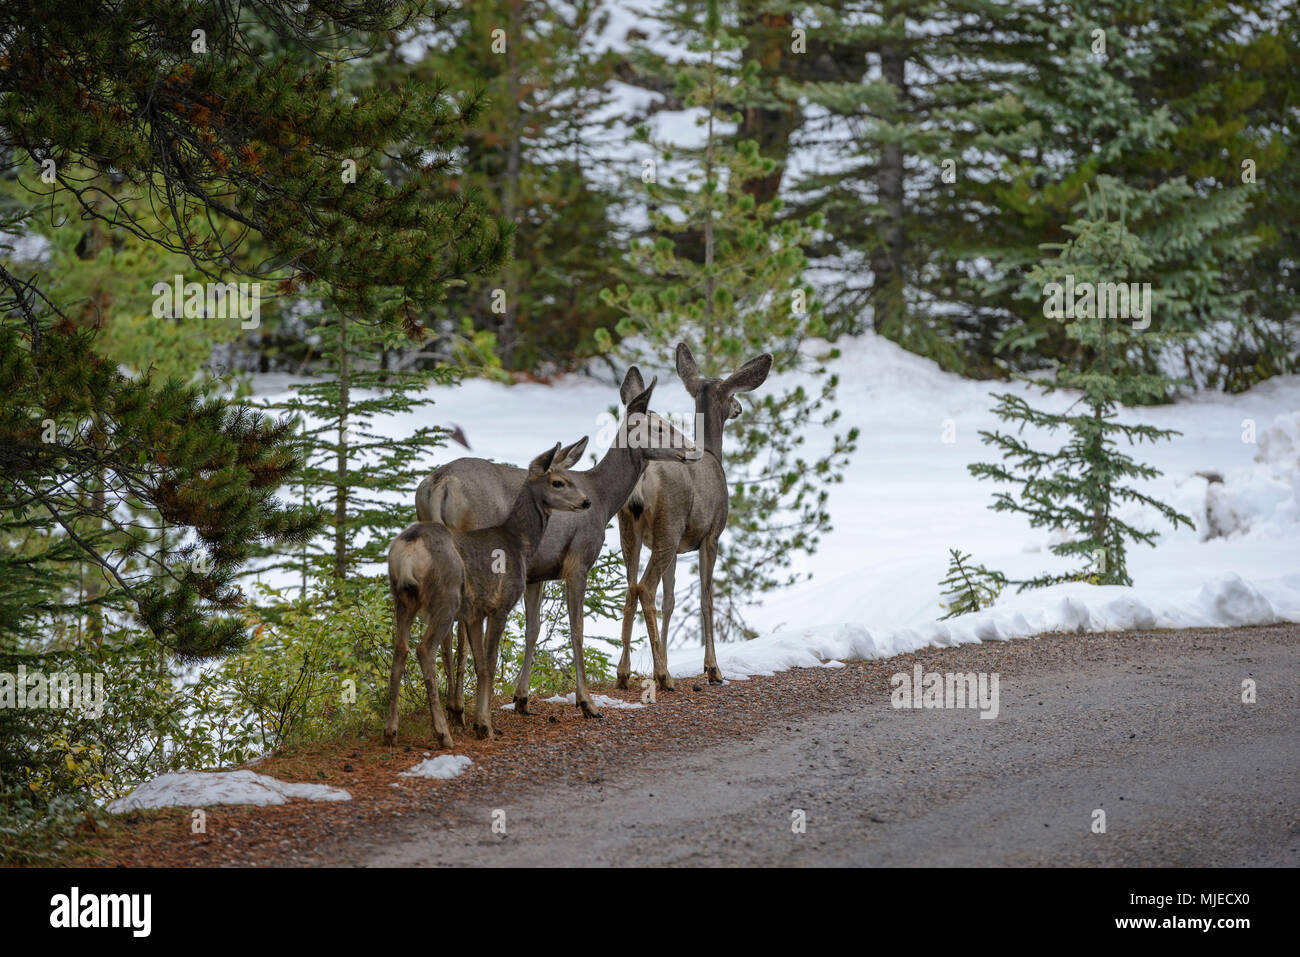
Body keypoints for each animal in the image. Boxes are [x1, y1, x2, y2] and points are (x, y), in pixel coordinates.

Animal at [385, 442, 591, 748]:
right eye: (558, 482)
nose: (586, 501)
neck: (519, 543)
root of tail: (410, 549)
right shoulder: (500, 605)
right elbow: (491, 664)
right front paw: (485, 725)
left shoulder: (474, 613)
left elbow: (481, 665)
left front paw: (480, 722)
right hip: (445, 599)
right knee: (424, 649)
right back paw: (443, 732)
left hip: (403, 599)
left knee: (400, 649)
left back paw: (391, 731)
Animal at [412, 369, 694, 720]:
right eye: (658, 427)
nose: (692, 449)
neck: (604, 498)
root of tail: (439, 485)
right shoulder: (578, 560)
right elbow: (577, 629)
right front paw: (586, 702)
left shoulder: (538, 572)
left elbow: (533, 629)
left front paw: (521, 698)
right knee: (461, 623)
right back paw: (459, 706)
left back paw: (455, 706)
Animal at [616, 342, 772, 690]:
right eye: (730, 393)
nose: (739, 407)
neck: (713, 453)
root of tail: (644, 479)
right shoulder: (711, 534)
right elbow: (706, 597)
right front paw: (712, 668)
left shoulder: (677, 549)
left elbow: (671, 601)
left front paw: (664, 661)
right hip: (669, 522)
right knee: (645, 587)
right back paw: (663, 677)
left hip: (630, 528)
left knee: (631, 587)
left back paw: (624, 673)